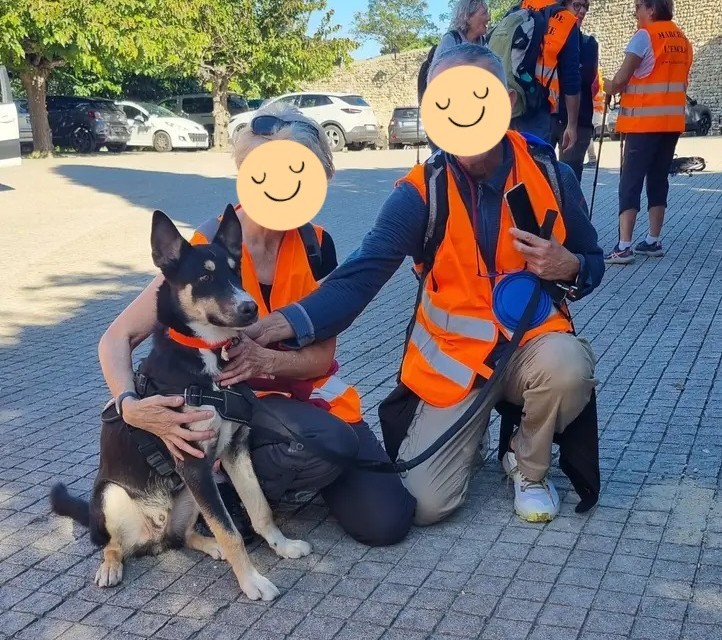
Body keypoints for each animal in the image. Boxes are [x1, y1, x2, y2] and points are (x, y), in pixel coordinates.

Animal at [49, 206, 311, 601]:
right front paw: (252, 581)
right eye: (205, 276)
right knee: (112, 544)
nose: (250, 308)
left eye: (236, 271)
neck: (208, 356)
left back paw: (208, 546)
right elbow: (231, 531)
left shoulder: (235, 449)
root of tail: (154, 532)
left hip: (190, 495)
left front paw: (282, 546)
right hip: (114, 495)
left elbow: (259, 509)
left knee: (184, 536)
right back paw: (111, 566)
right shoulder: (193, 460)